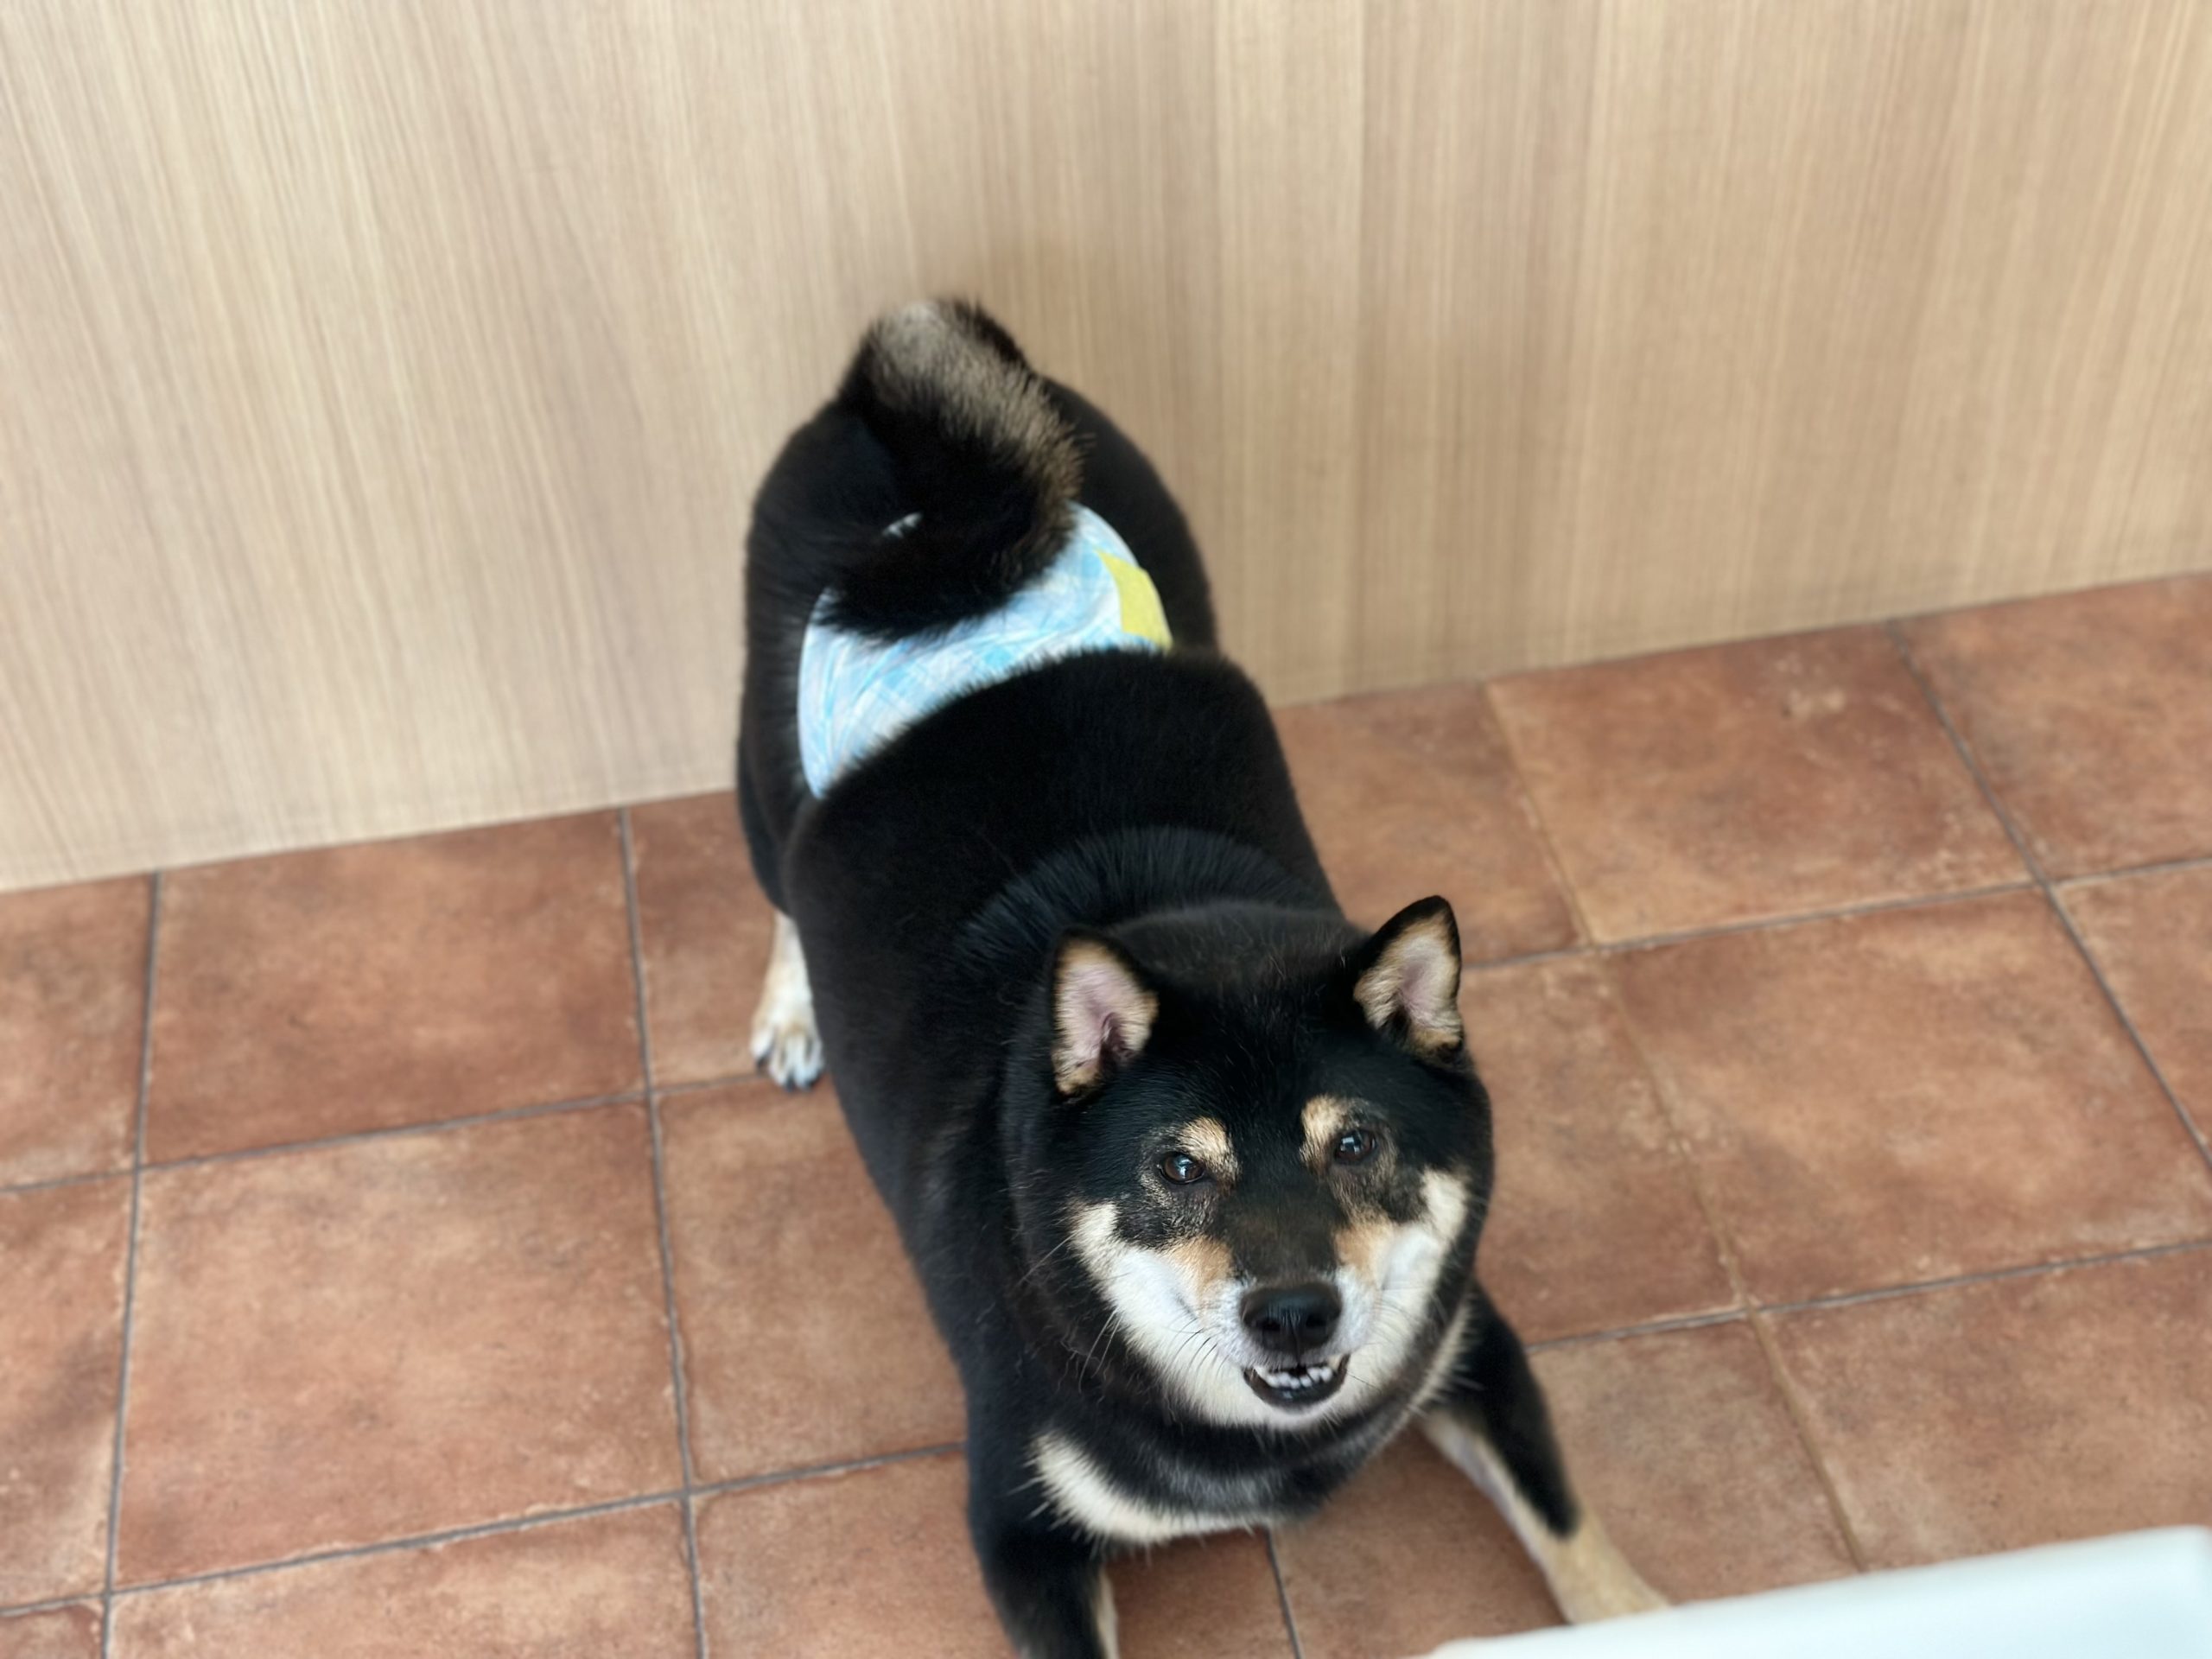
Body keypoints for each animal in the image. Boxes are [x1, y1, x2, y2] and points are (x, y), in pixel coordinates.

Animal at [735, 300, 1664, 1656]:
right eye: (1177, 1168)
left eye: (1356, 1145)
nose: (1295, 1315)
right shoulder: (1017, 1525)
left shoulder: (1469, 1343)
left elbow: (1573, 1526)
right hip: (765, 779)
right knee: (778, 888)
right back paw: (792, 1010)